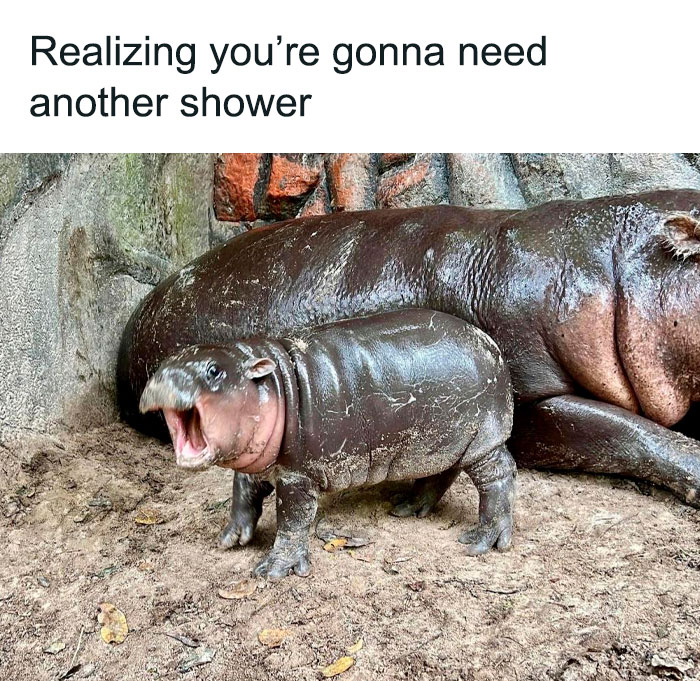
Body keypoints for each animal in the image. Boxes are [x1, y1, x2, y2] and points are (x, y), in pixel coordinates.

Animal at [138, 310, 516, 577]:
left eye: (214, 370)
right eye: (163, 364)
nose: (163, 379)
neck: (275, 384)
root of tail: (491, 343)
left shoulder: (297, 476)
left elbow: (293, 520)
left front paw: (273, 570)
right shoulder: (257, 461)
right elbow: (242, 493)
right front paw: (231, 537)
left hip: (483, 441)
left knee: (499, 476)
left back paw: (482, 541)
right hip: (437, 444)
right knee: (441, 473)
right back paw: (406, 506)